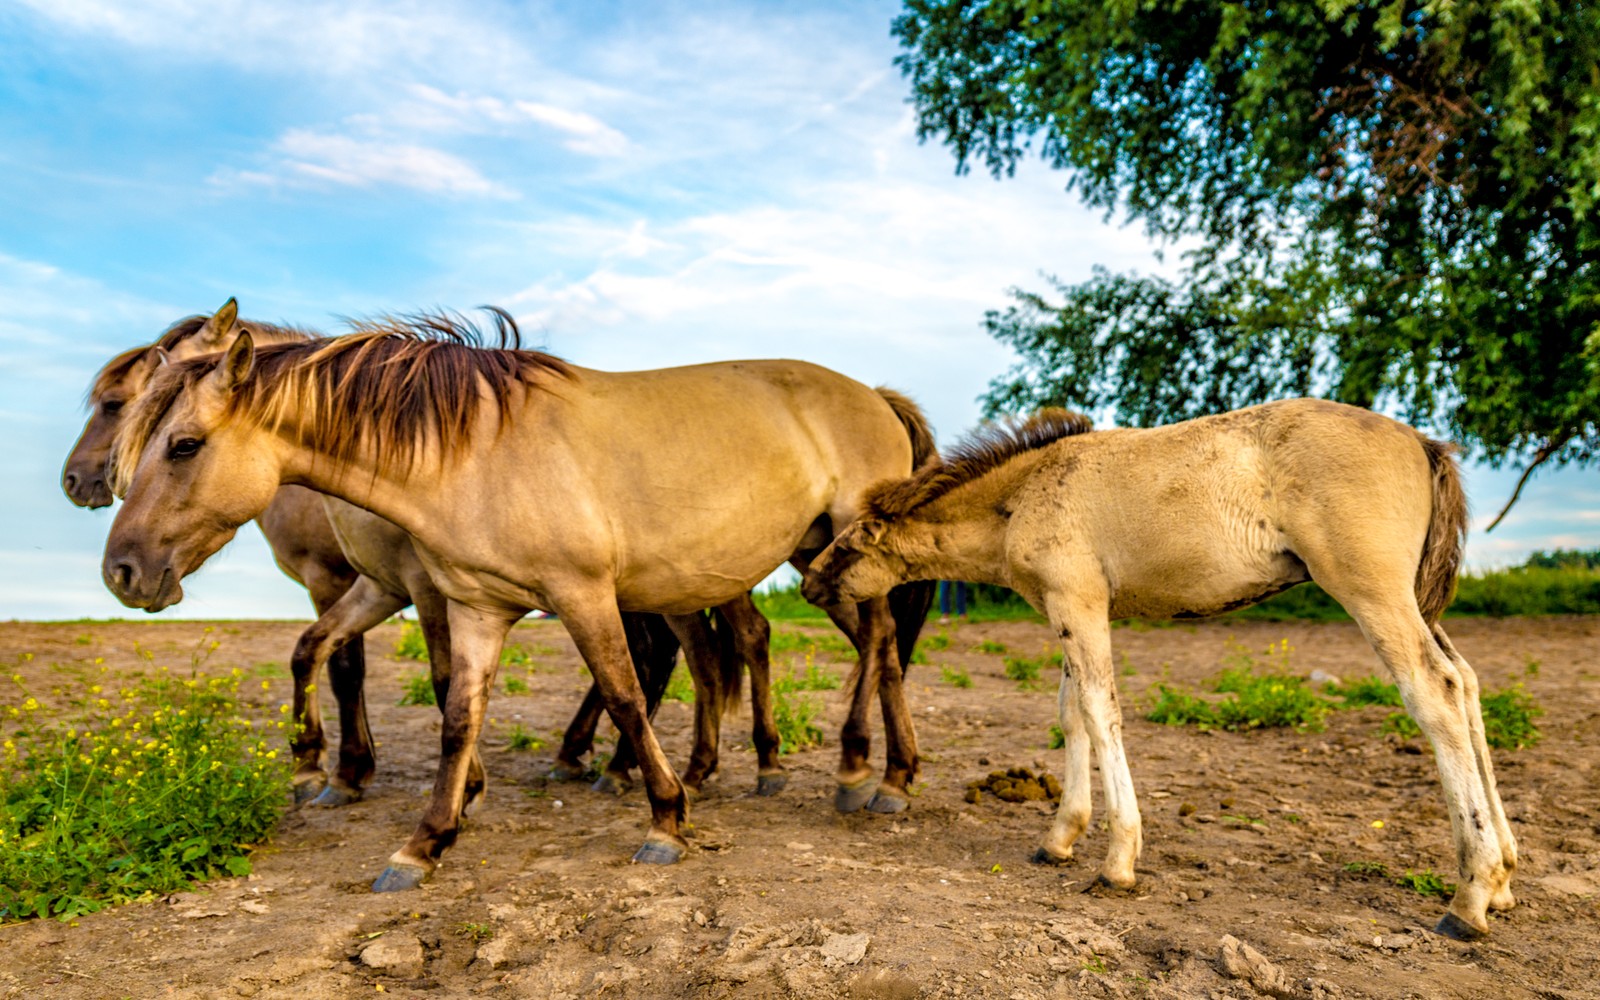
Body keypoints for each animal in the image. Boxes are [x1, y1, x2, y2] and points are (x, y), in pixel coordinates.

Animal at [806, 401, 1516, 940]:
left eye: (852, 541)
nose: (811, 580)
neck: (1024, 493)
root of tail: (1423, 441)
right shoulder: (1074, 610)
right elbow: (1071, 713)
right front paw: (1059, 837)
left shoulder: (1077, 603)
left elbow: (1100, 711)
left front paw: (1117, 860)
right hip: (1414, 599)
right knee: (1468, 681)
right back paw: (1505, 874)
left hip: (1372, 592)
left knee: (1434, 691)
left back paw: (1470, 896)